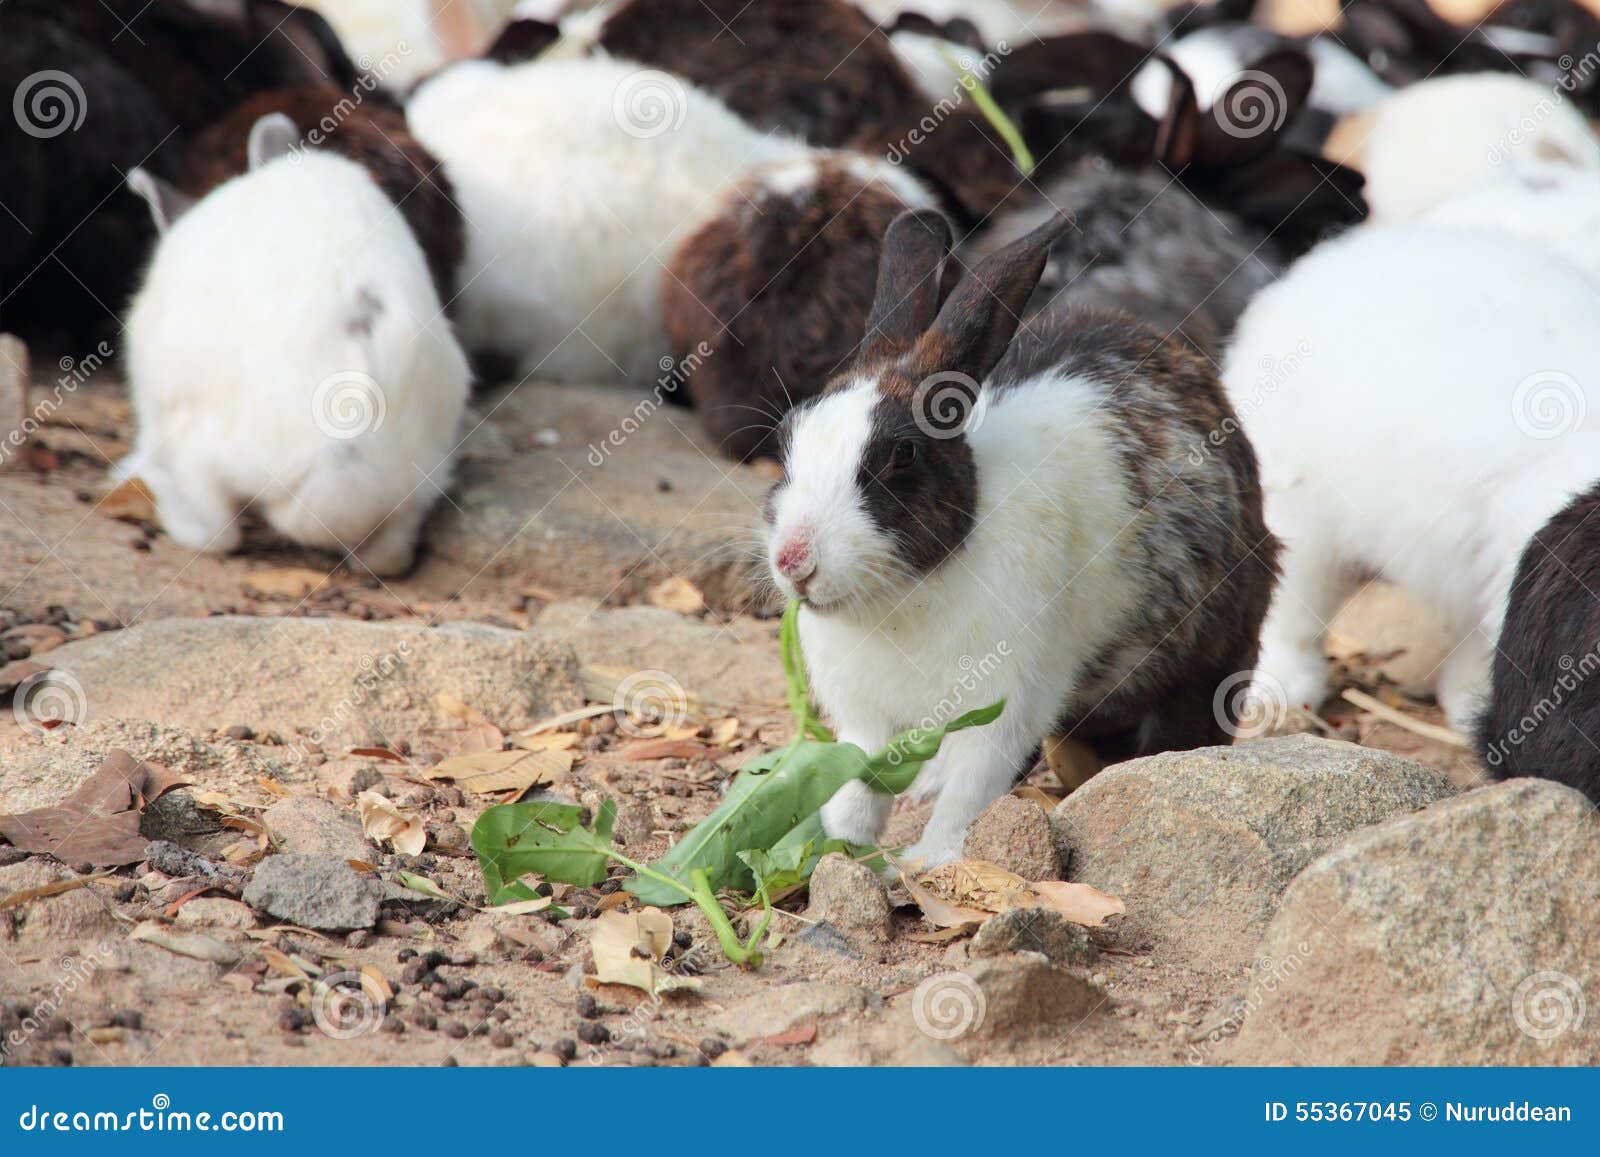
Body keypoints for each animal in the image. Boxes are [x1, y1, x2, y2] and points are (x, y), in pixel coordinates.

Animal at [763, 209, 1280, 866]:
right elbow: (858, 782)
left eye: (901, 455)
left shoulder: (1004, 704)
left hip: (1207, 659)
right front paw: (835, 848)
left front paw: (927, 860)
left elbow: (971, 787)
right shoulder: (865, 720)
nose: (794, 560)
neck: (908, 594)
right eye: (788, 437)